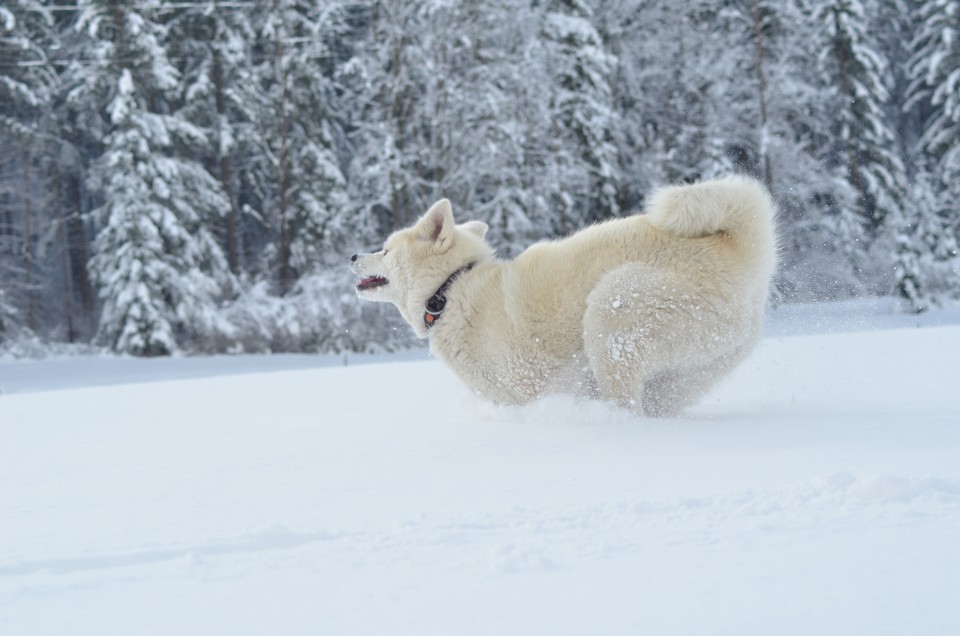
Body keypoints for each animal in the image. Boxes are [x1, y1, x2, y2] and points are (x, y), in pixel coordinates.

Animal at [352, 178, 780, 418]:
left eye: (385, 250)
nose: (354, 257)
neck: (450, 290)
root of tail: (740, 249)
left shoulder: (526, 382)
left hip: (613, 314)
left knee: (628, 403)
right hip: (690, 368)